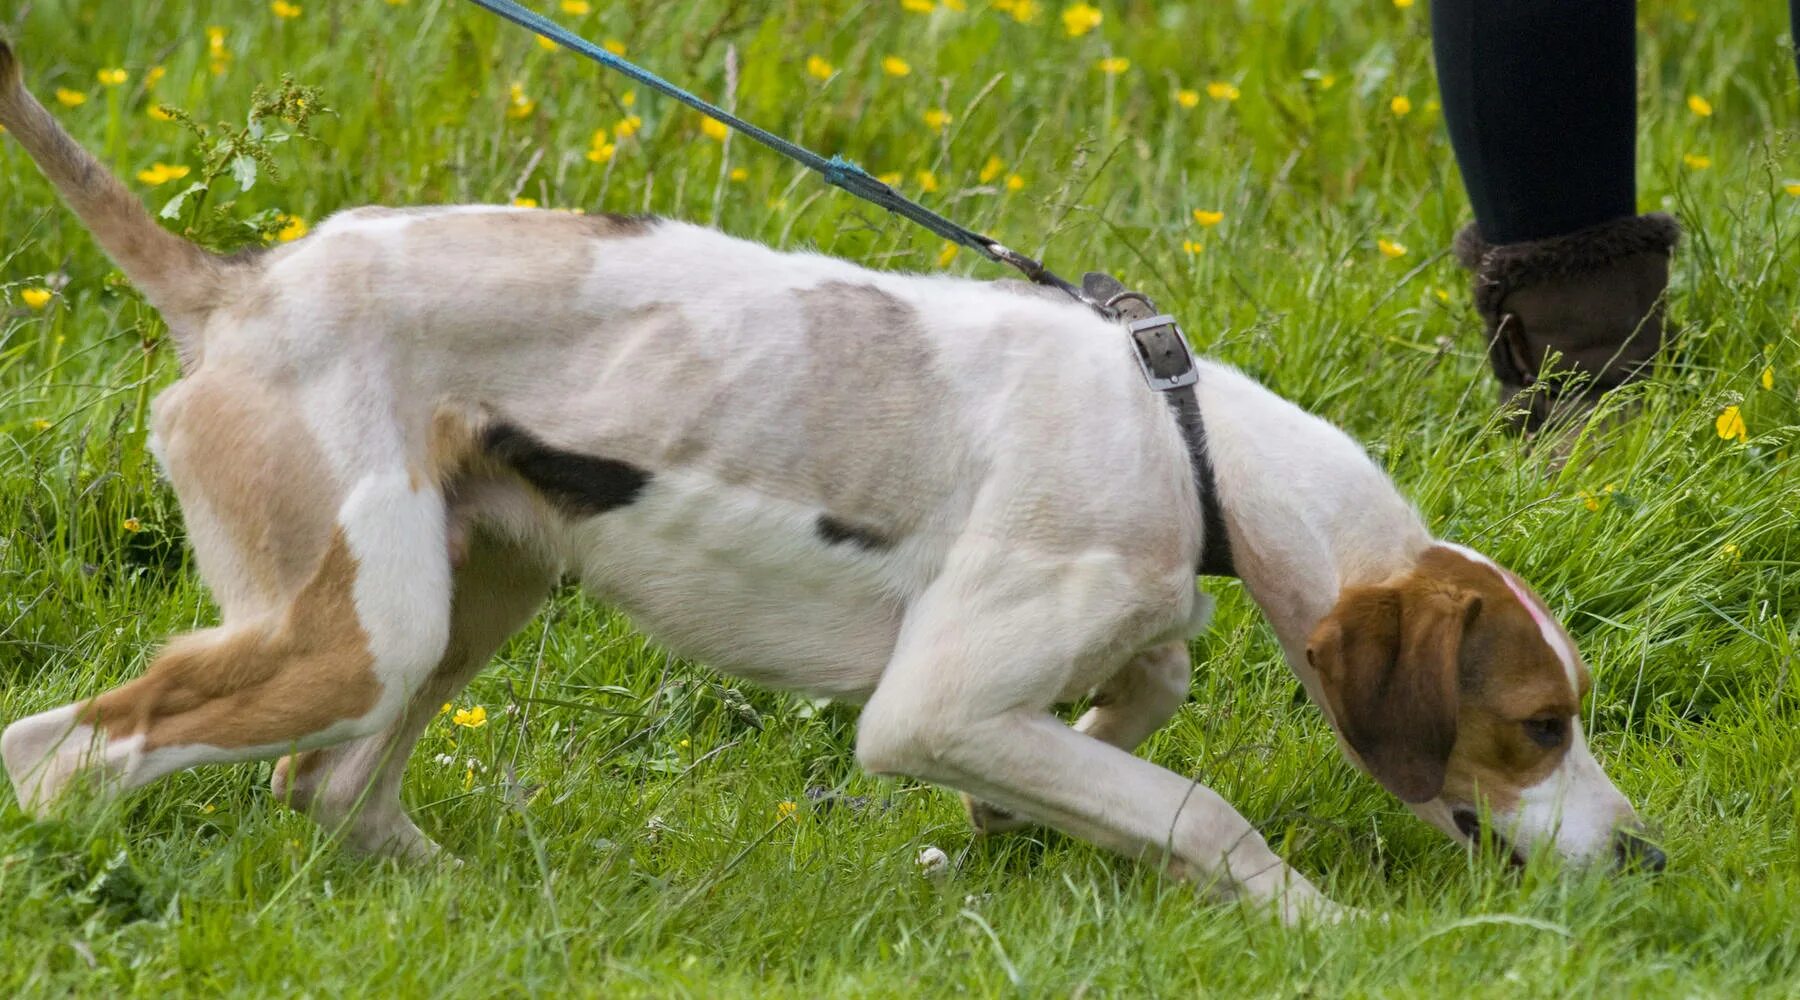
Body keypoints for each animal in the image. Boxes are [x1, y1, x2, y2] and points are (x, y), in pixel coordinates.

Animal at [0, 44, 1656, 920]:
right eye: (1536, 726)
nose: (1646, 857)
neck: (1184, 438)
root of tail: (233, 286)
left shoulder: (1076, 655)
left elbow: (1144, 700)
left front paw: (1016, 820)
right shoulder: (928, 705)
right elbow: (1198, 809)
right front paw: (1312, 926)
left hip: (473, 592)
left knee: (330, 786)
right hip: (356, 631)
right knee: (62, 748)